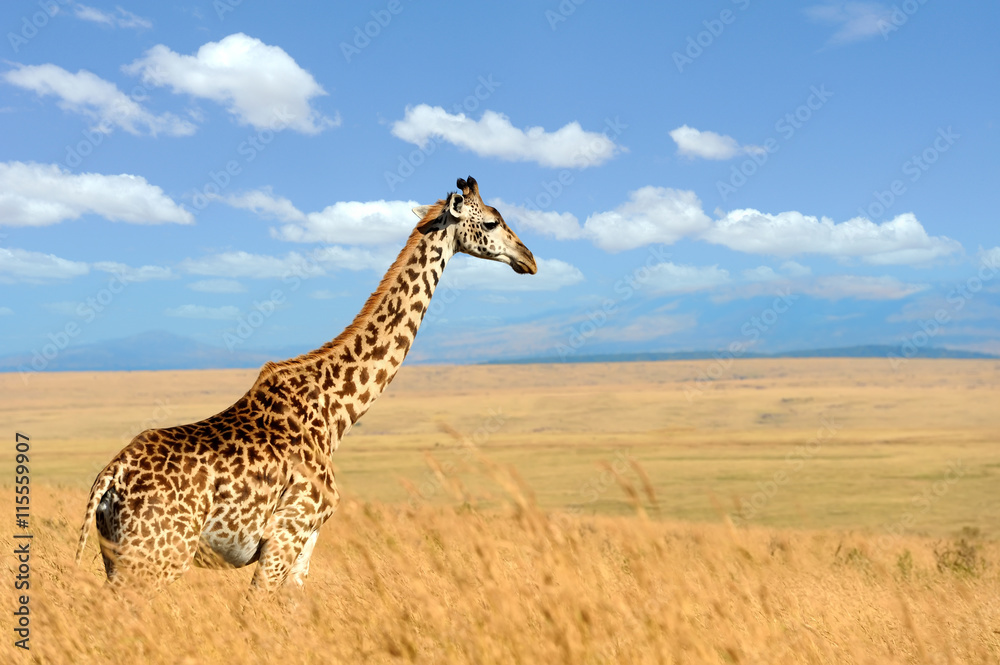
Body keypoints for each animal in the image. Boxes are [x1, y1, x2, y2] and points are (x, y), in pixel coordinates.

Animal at [75, 176, 537, 591]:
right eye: (492, 222)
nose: (529, 259)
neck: (337, 411)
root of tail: (110, 477)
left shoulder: (307, 540)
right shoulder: (286, 532)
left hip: (120, 556)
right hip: (157, 557)